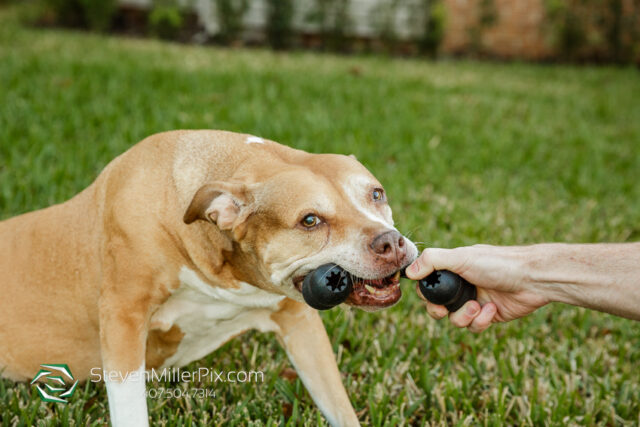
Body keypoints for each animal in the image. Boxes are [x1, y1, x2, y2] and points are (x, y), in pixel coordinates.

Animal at [0, 131, 416, 427]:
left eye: (376, 194)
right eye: (310, 220)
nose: (391, 242)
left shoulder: (298, 322)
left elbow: (338, 405)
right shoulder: (123, 317)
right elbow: (130, 407)